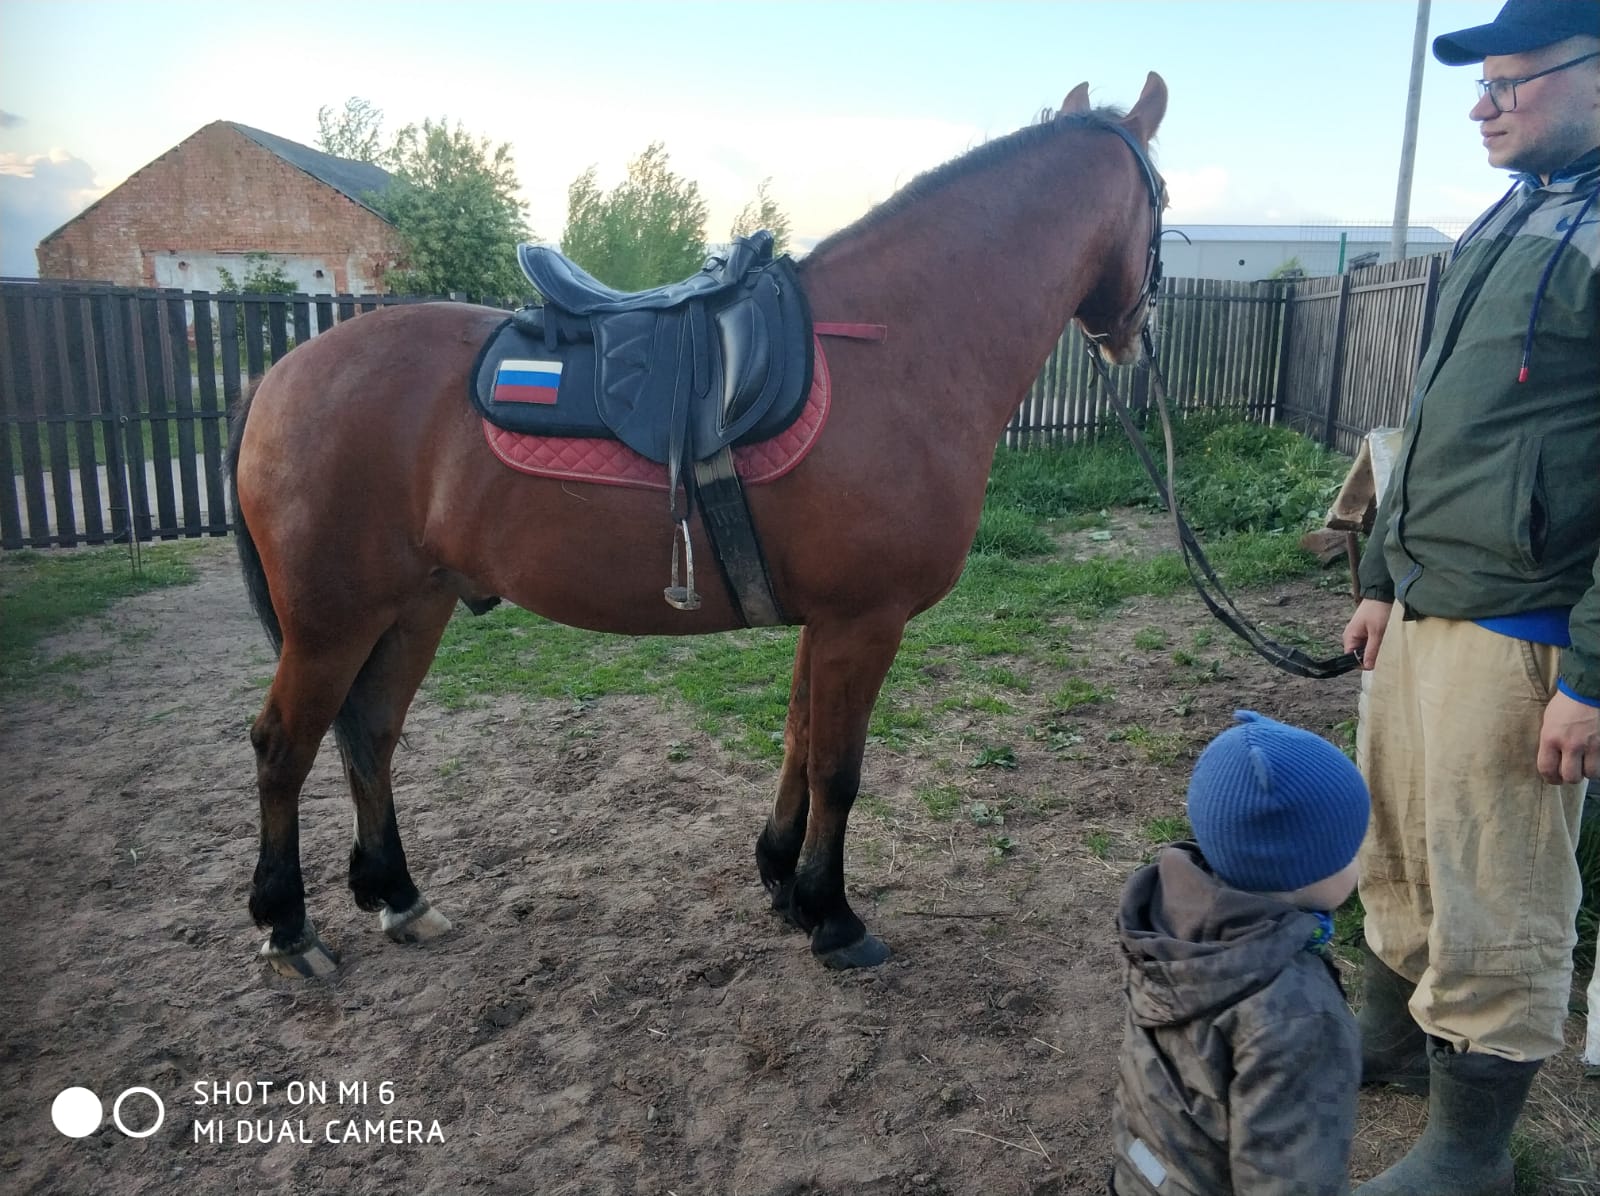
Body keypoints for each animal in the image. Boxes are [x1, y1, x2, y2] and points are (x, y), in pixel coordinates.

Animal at [232, 69, 1171, 978]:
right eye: (1162, 198)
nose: (1133, 332)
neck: (894, 349)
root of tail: (278, 376)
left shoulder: (827, 622)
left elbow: (797, 742)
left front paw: (783, 882)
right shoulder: (865, 622)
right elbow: (838, 769)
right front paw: (834, 918)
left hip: (412, 608)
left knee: (370, 733)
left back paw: (398, 895)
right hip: (332, 621)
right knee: (283, 745)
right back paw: (288, 928)